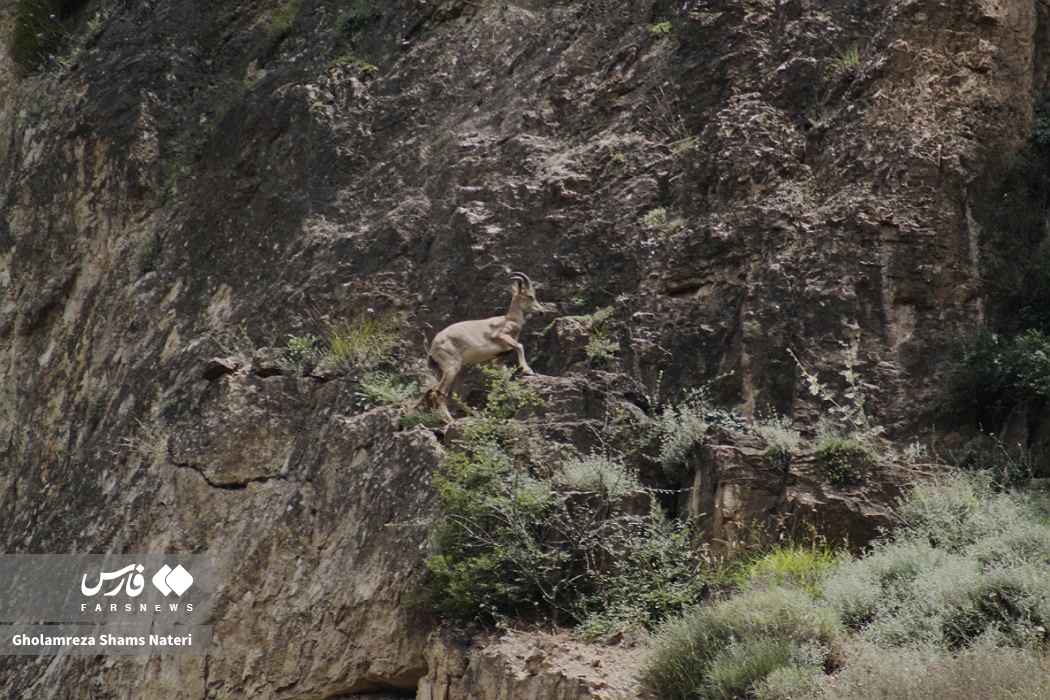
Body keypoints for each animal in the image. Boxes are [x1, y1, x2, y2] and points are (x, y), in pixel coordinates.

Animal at [428, 270, 550, 419]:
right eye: (530, 296)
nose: (542, 311)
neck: (511, 320)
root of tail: (432, 351)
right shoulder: (499, 335)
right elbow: (520, 346)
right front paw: (528, 370)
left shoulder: (498, 360)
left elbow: (505, 378)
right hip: (451, 368)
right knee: (440, 392)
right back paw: (450, 420)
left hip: (461, 369)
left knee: (453, 394)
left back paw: (477, 414)